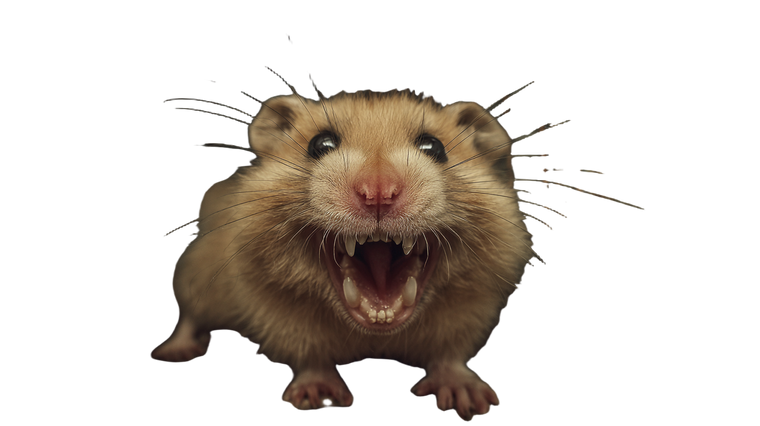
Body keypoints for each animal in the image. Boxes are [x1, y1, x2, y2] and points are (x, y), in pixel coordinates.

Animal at [150, 82, 545, 422]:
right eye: (320, 144)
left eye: (434, 147)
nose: (378, 192)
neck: (374, 333)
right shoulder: (273, 308)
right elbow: (307, 352)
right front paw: (318, 395)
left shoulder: (471, 311)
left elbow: (450, 354)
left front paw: (471, 398)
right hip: (192, 277)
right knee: (189, 317)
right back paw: (174, 351)